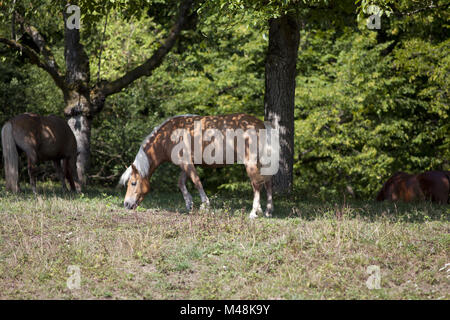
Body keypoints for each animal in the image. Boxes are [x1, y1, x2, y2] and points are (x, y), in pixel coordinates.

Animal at [118, 112, 278, 218]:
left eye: (133, 183)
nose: (126, 204)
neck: (169, 135)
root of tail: (261, 124)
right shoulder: (186, 164)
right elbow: (181, 183)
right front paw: (189, 204)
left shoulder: (186, 163)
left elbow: (196, 181)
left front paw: (204, 205)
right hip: (261, 162)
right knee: (268, 183)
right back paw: (268, 211)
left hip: (250, 162)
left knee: (256, 185)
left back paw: (254, 212)